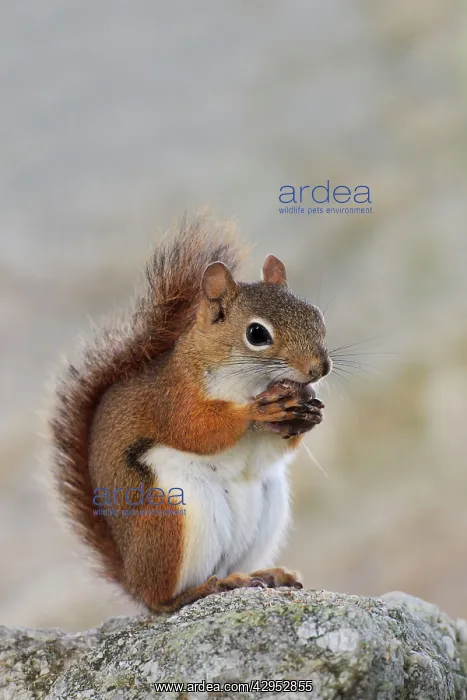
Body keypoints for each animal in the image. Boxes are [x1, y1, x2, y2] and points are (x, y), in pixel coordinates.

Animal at [50, 216, 332, 613]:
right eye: (257, 333)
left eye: (315, 315)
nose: (320, 369)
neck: (249, 381)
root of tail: (132, 581)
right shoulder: (174, 399)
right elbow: (196, 431)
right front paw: (255, 411)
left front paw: (306, 416)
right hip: (177, 513)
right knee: (164, 601)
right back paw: (206, 588)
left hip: (267, 512)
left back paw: (263, 575)